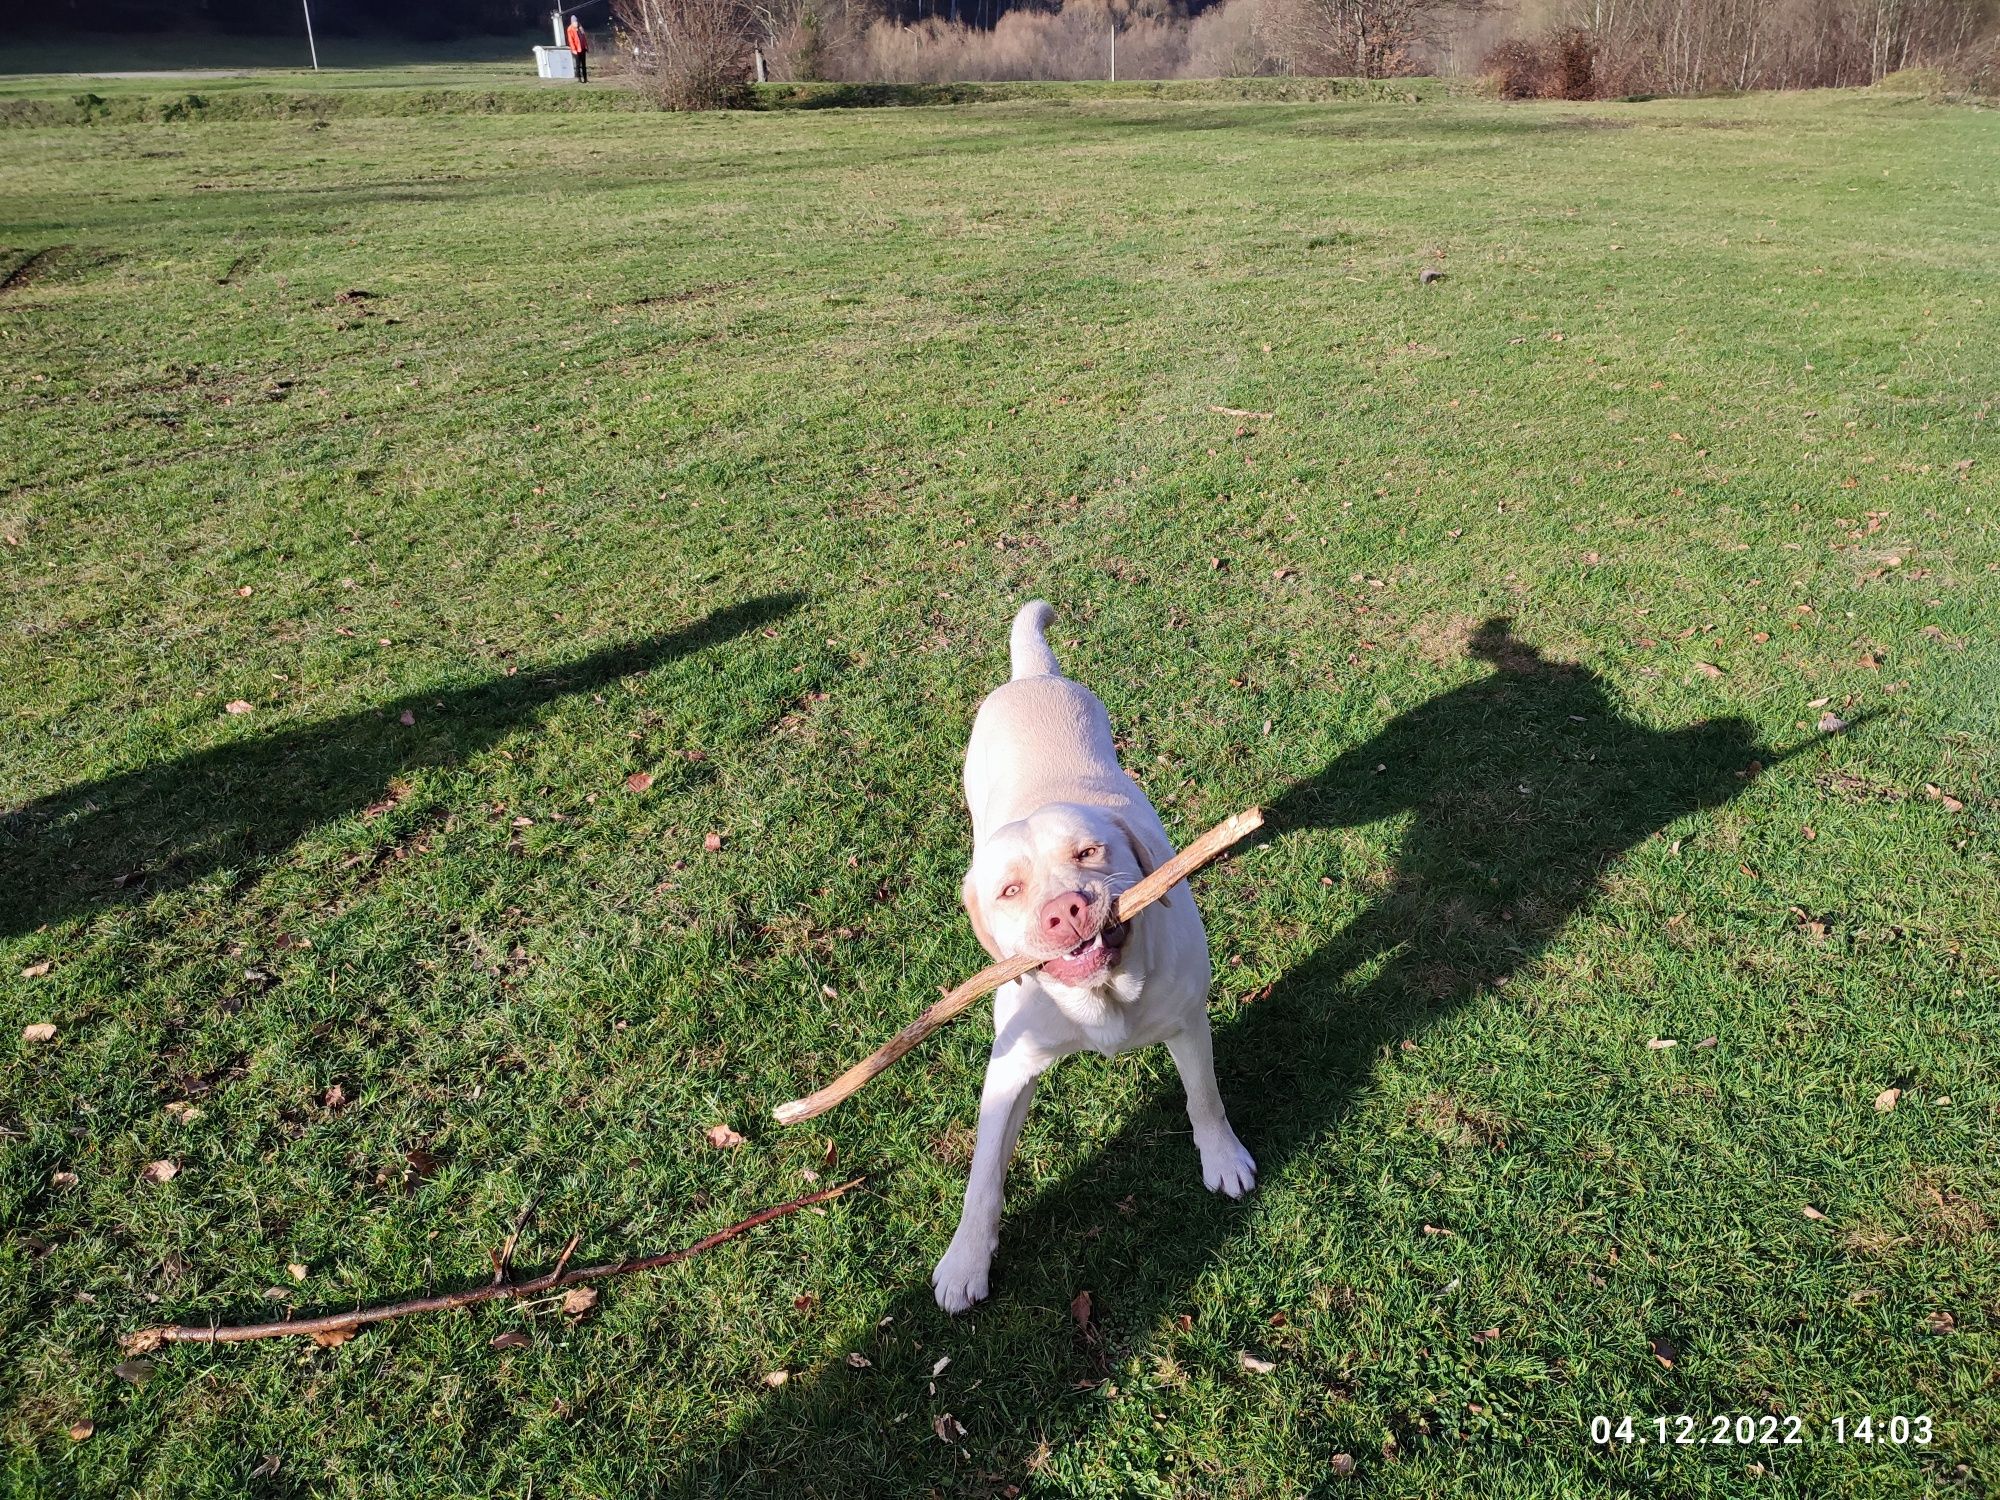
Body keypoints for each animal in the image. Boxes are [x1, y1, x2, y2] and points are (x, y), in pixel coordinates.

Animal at [932, 604, 1248, 1312]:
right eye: (1010, 890)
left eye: (1088, 852)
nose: (1065, 910)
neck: (1102, 995)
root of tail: (1032, 676)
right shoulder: (1011, 1067)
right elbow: (983, 1172)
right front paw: (966, 1260)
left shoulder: (1188, 1022)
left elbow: (1206, 1097)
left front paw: (1222, 1158)